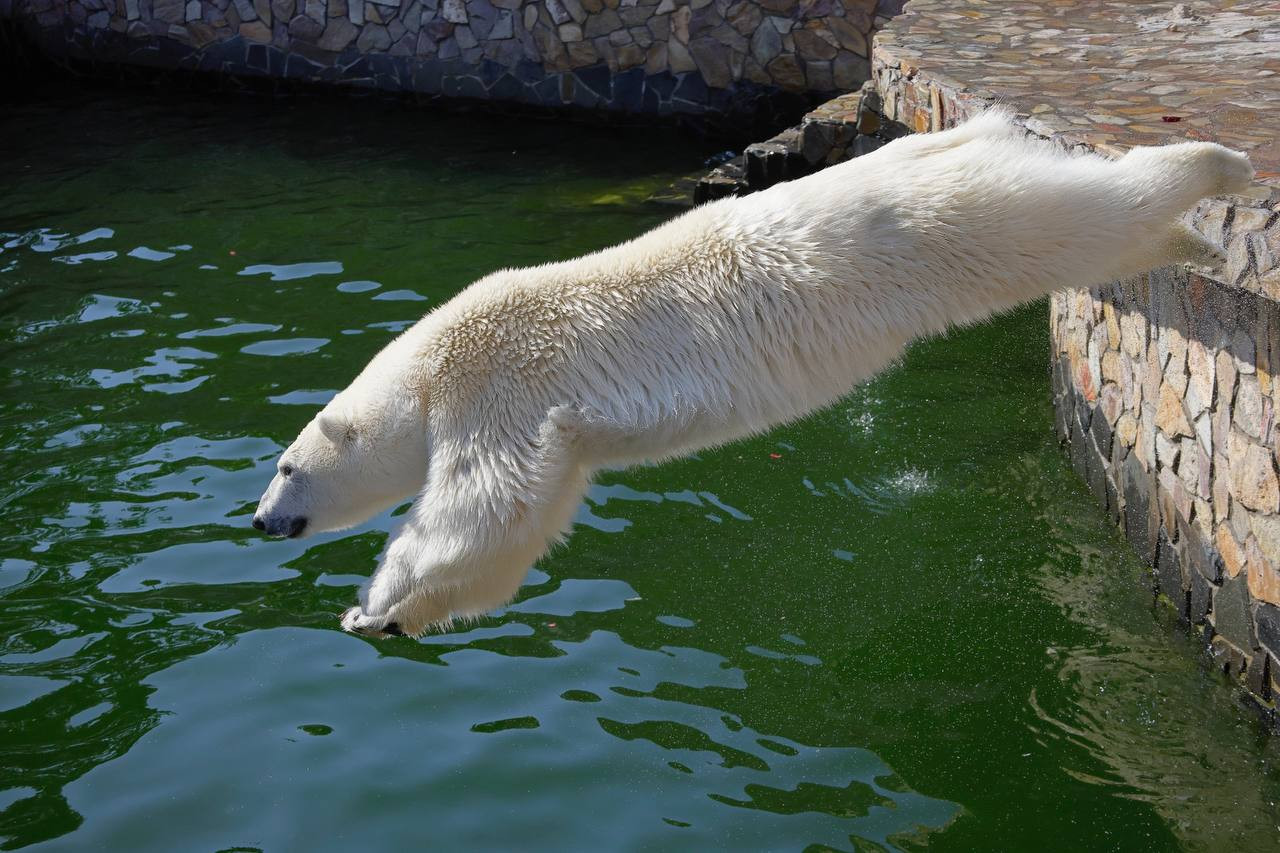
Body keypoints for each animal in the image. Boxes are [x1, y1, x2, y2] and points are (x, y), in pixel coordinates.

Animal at [247, 109, 1249, 635]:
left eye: (288, 465)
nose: (259, 520)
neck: (427, 369)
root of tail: (967, 129)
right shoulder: (557, 436)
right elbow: (525, 525)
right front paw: (398, 617)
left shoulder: (500, 384)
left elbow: (482, 508)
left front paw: (371, 605)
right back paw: (1194, 240)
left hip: (957, 222)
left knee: (1084, 209)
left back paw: (1218, 164)